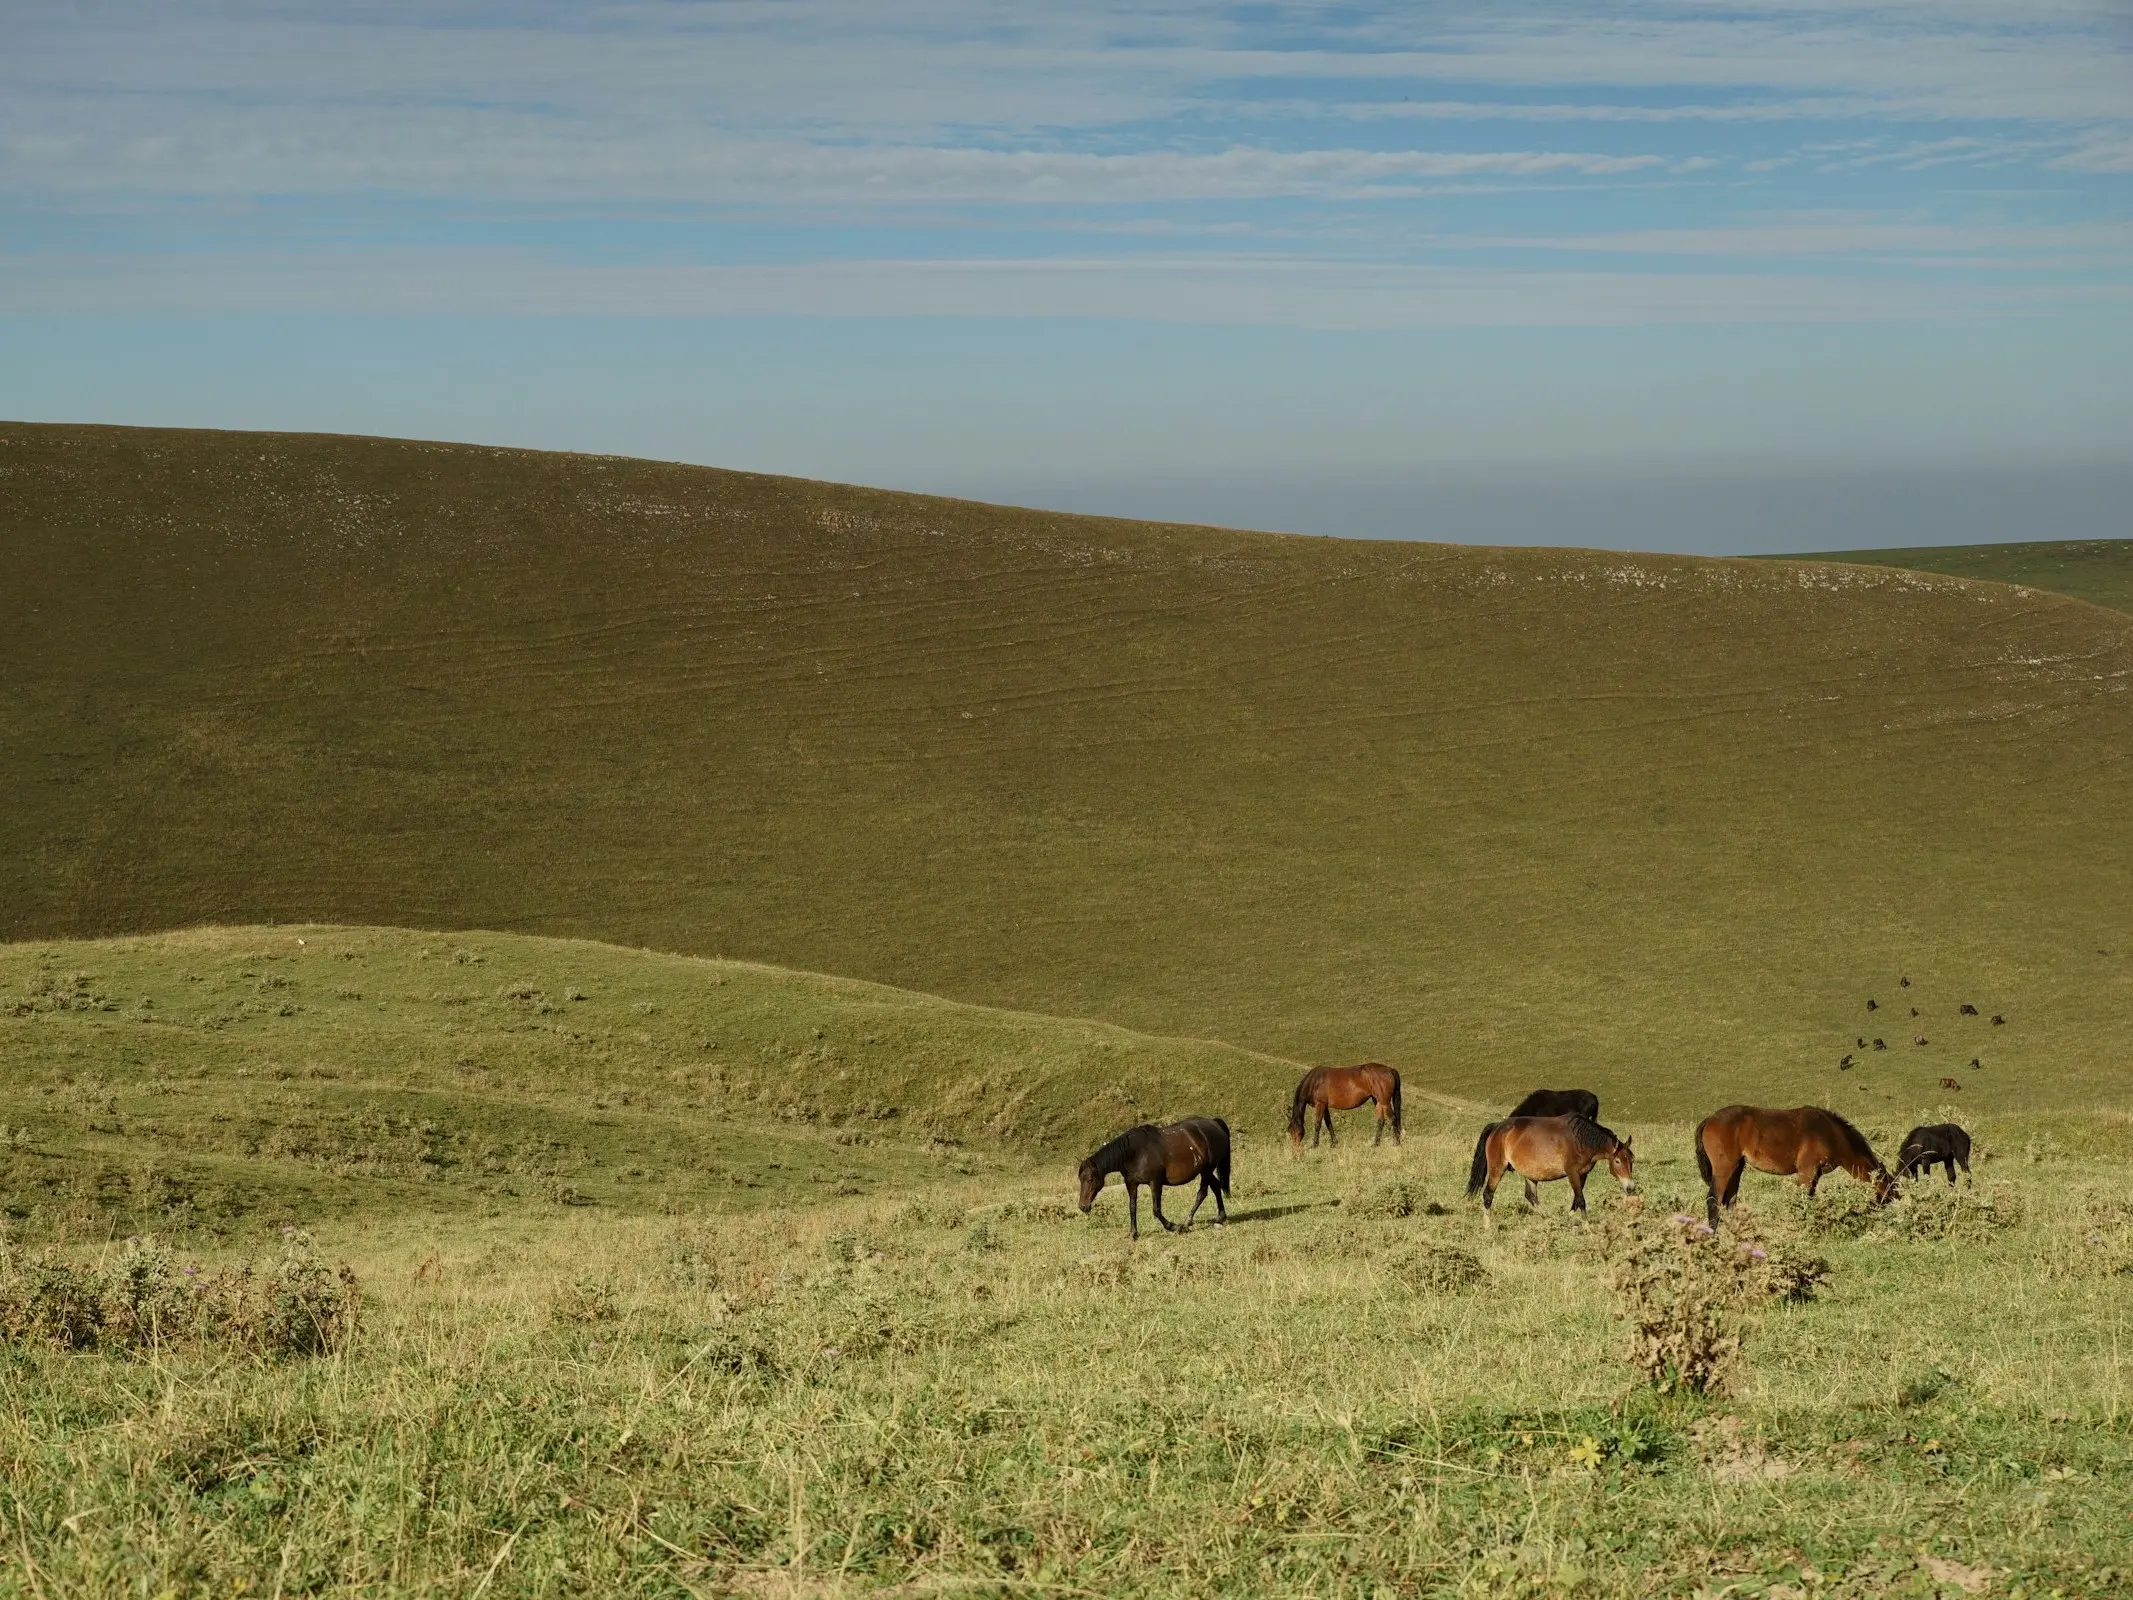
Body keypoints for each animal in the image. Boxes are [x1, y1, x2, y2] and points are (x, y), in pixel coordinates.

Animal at [1083, 1117, 1237, 1245]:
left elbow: (1156, 1210)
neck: (1135, 1153)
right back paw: (1220, 1218)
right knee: (1216, 1187)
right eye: (1080, 1179)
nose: (1082, 1206)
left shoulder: (1155, 1182)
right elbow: (1132, 1208)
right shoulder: (1131, 1184)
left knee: (1202, 1193)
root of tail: (1214, 1122)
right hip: (1206, 1171)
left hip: (1206, 1170)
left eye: (1090, 1179)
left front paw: (1173, 1226)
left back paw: (1186, 1224)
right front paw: (1133, 1234)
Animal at [1467, 1117, 1629, 1211]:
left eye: (1631, 1161)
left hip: (1529, 1174)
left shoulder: (1583, 1174)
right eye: (1618, 1161)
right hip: (1497, 1169)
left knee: (1531, 1197)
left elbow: (1577, 1199)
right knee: (1488, 1195)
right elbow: (1581, 1200)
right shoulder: (1572, 1173)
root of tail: (1497, 1127)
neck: (1580, 1139)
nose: (1630, 1187)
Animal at [1697, 1100, 1902, 1228]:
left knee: (1729, 1201)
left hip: (1737, 1168)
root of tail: (1709, 1119)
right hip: (1725, 1168)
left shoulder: (1816, 1173)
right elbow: (1803, 1199)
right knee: (1714, 1200)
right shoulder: (1807, 1170)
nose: (1899, 1205)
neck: (1832, 1135)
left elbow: (1809, 1199)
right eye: (1891, 1187)